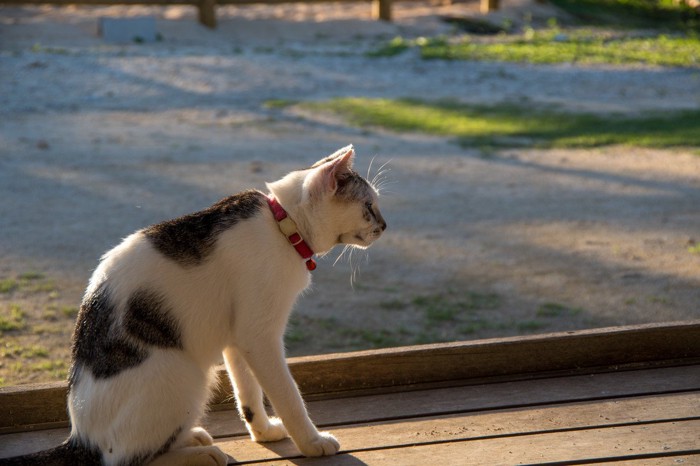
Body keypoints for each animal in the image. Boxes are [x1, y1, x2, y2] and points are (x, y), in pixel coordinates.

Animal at [0, 144, 386, 464]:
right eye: (369, 208)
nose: (384, 226)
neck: (281, 224)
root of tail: (81, 438)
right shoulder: (259, 336)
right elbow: (288, 395)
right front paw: (311, 442)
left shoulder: (237, 338)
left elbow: (248, 393)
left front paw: (264, 432)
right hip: (186, 373)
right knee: (123, 460)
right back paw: (200, 455)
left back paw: (192, 438)